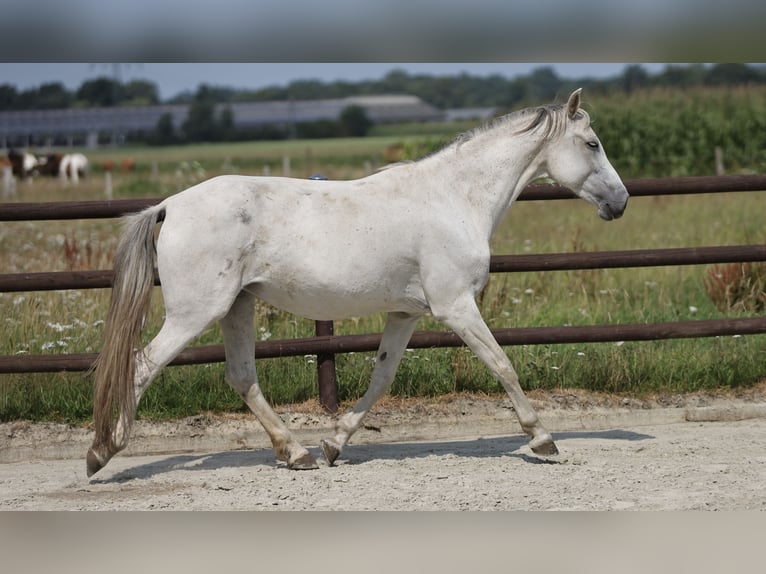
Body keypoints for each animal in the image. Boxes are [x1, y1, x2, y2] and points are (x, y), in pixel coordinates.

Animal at [86, 89, 629, 477]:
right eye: (592, 144)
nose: (621, 202)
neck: (454, 199)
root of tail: (169, 204)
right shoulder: (455, 306)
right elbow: (503, 365)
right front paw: (543, 440)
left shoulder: (406, 313)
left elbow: (381, 378)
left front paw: (333, 443)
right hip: (196, 313)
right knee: (142, 365)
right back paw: (101, 453)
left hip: (236, 307)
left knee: (242, 378)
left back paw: (297, 453)